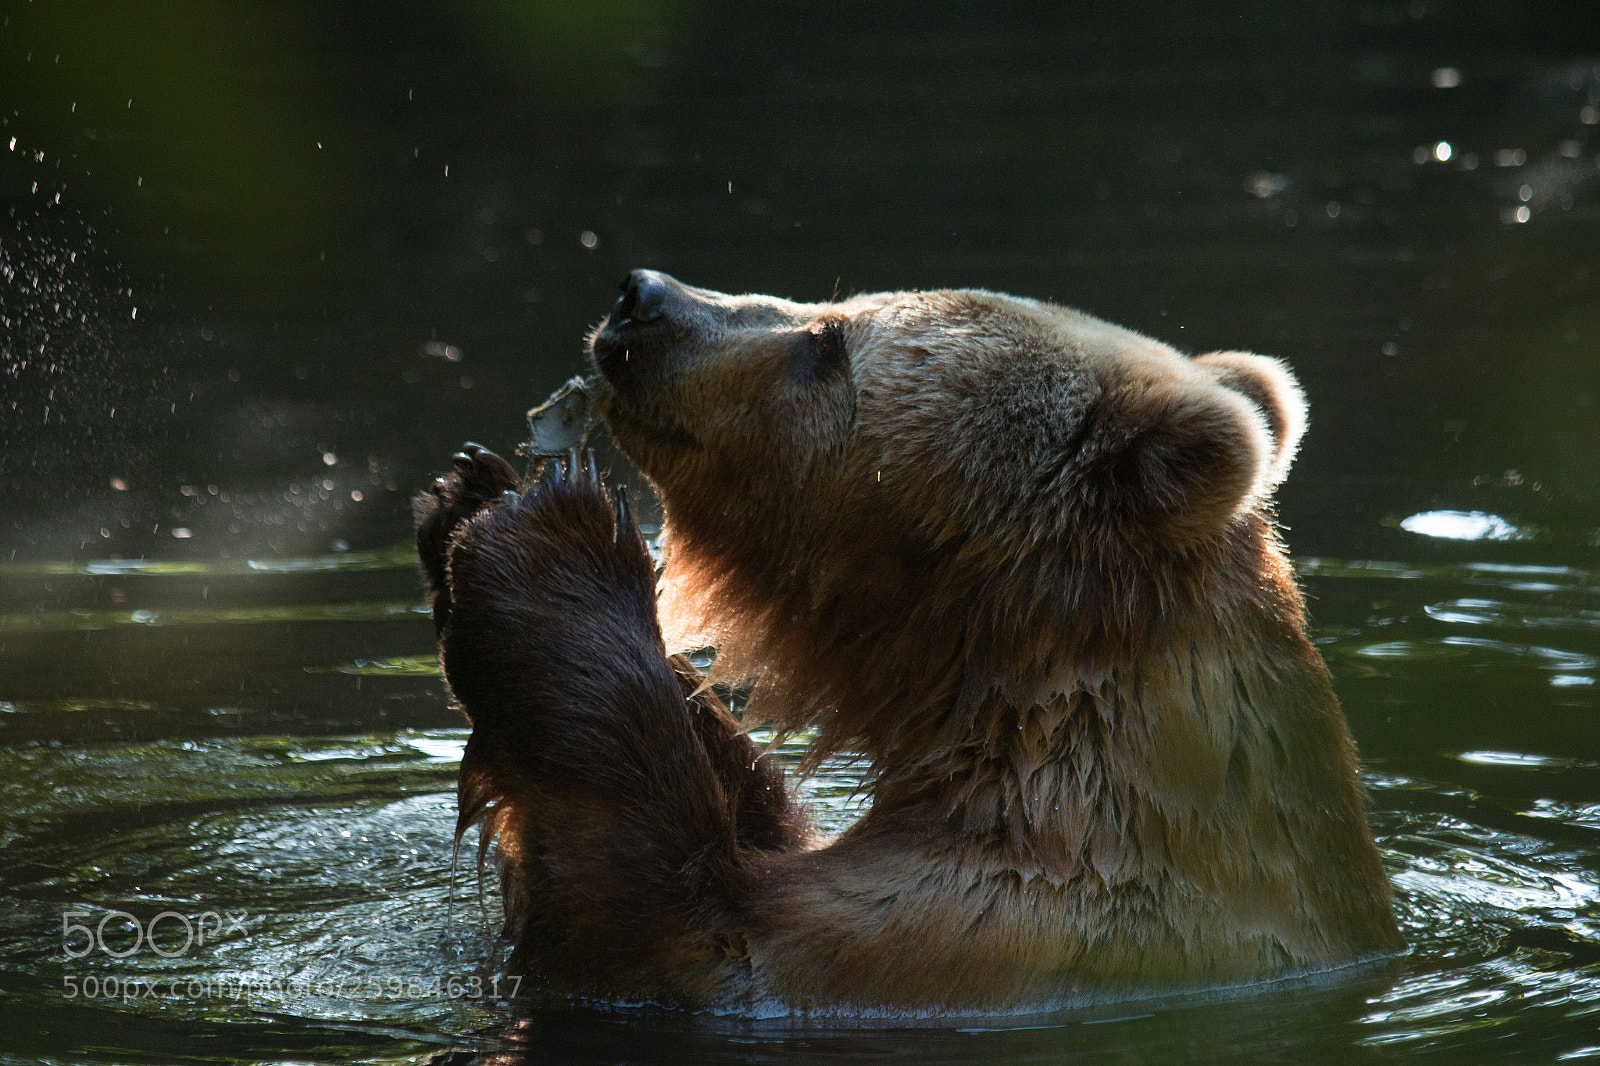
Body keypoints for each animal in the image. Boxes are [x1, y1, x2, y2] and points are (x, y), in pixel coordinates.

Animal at [413, 269, 1403, 1013]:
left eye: (829, 340)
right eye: (833, 306)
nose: (642, 297)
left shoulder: (973, 936)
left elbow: (668, 929)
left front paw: (549, 534)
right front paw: (472, 491)